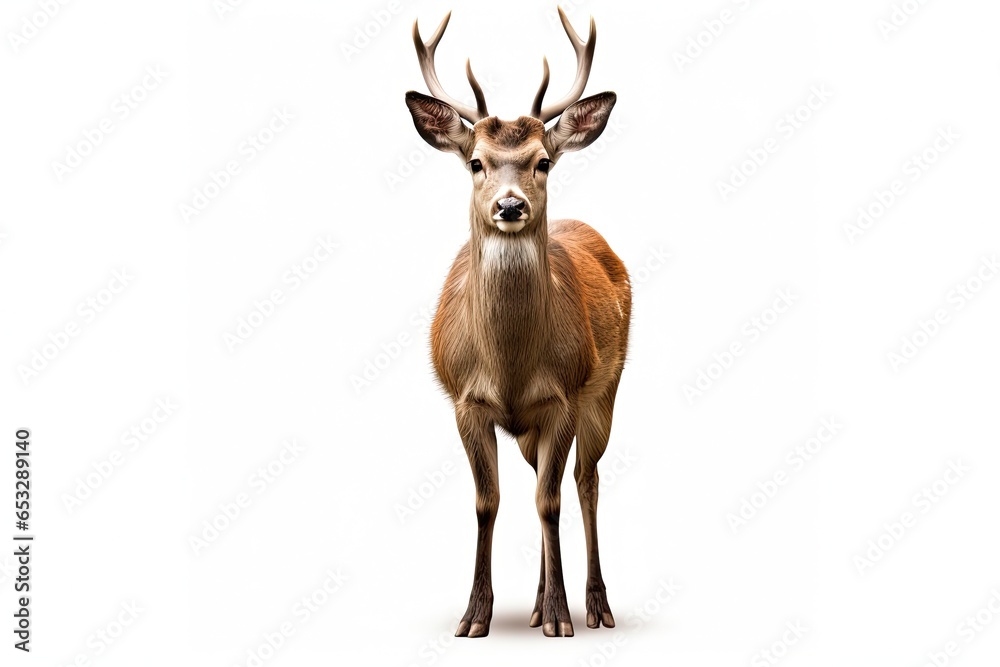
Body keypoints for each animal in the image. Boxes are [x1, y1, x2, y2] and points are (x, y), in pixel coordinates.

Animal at [404, 8, 630, 638]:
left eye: (543, 161)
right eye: (475, 162)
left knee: (584, 481)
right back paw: (531, 604)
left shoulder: (563, 398)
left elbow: (551, 502)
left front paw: (560, 617)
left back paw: (594, 605)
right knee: (538, 482)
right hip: (531, 430)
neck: (509, 366)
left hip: (605, 392)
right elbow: (489, 501)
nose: (510, 205)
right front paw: (474, 616)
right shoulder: (467, 401)